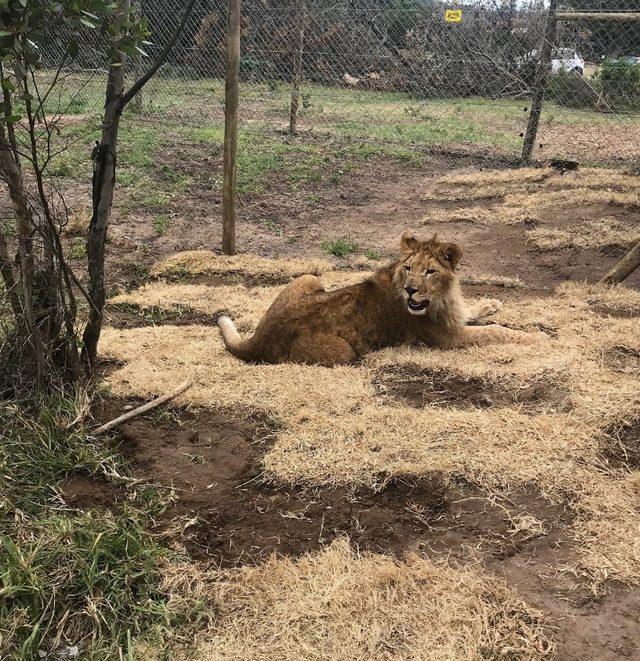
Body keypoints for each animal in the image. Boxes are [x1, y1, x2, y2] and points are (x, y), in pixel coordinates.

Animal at [218, 232, 548, 366]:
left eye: (430, 271)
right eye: (408, 268)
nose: (411, 290)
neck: (439, 298)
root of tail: (258, 338)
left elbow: (473, 311)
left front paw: (491, 304)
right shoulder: (446, 339)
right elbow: (497, 331)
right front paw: (538, 338)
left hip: (311, 277)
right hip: (343, 352)